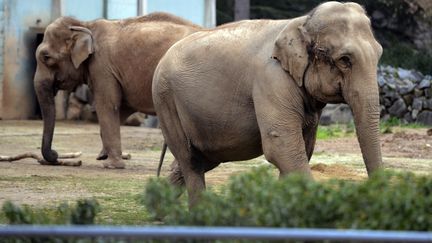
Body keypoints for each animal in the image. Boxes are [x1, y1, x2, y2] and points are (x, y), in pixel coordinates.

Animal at [34, 12, 202, 168]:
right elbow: (122, 108)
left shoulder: (102, 66)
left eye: (46, 57)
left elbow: (107, 105)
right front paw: (103, 156)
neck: (85, 25)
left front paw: (111, 165)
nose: (55, 154)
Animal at [154, 1, 384, 206]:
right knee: (190, 160)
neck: (300, 22)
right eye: (345, 60)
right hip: (165, 100)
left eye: (379, 54)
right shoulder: (271, 79)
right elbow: (282, 145)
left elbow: (303, 148)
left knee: (201, 160)